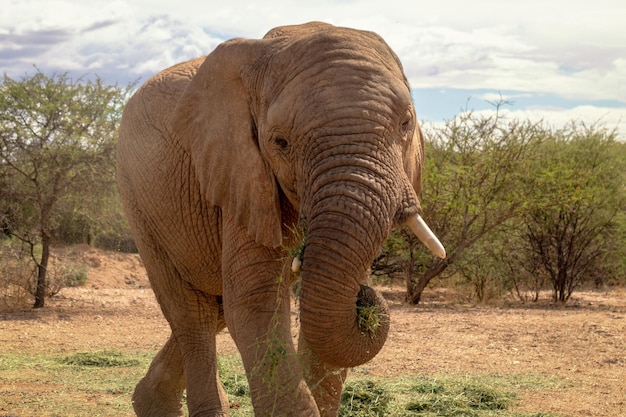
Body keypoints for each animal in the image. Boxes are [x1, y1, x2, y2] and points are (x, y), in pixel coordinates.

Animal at [114, 22, 442, 416]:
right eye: (280, 142)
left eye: (406, 123)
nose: (366, 296)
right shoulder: (241, 172)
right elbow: (256, 303)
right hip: (138, 200)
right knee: (192, 313)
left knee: (214, 306)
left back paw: (148, 402)